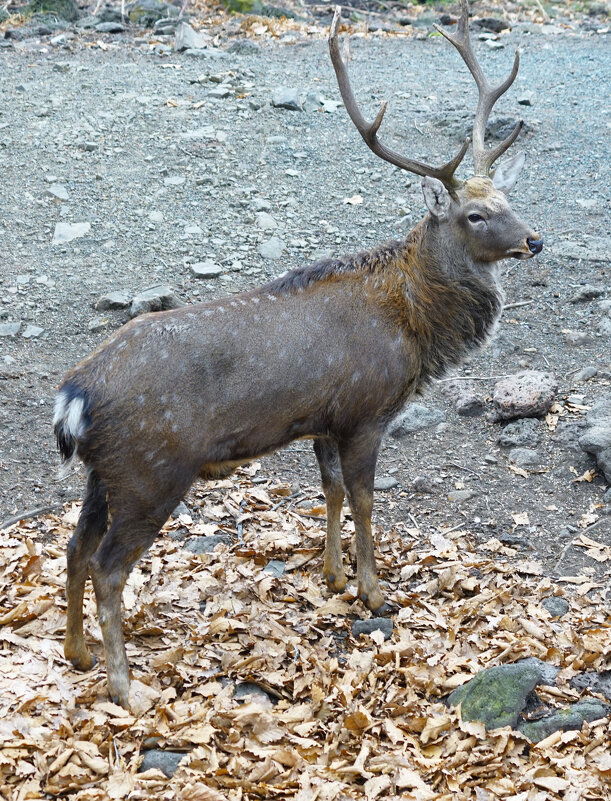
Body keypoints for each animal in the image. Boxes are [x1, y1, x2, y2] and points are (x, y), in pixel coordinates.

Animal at [52, 0, 540, 708]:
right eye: (474, 215)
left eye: (507, 200)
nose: (535, 239)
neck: (414, 325)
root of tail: (74, 397)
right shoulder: (366, 410)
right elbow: (363, 497)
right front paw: (373, 589)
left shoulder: (323, 420)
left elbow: (330, 492)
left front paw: (334, 577)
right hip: (152, 468)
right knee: (107, 565)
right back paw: (123, 686)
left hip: (102, 470)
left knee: (74, 545)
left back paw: (78, 653)